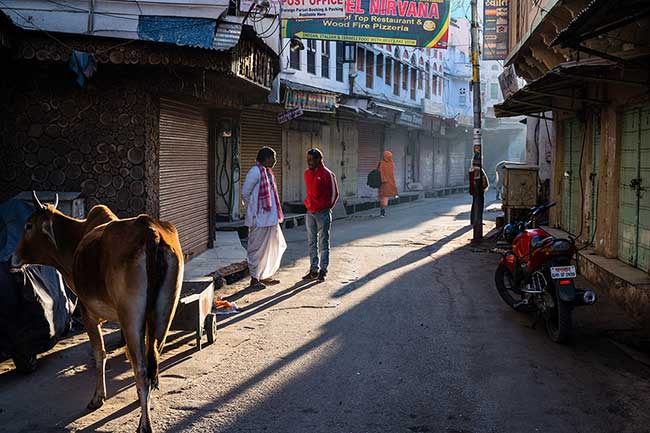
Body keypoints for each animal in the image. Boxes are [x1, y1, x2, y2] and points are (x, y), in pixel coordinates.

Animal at [10, 192, 182, 432]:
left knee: (141, 368)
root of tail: (150, 230)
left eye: (28, 225)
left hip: (132, 318)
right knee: (153, 359)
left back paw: (144, 425)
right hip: (164, 313)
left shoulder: (87, 312)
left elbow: (99, 353)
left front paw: (97, 397)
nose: (12, 259)